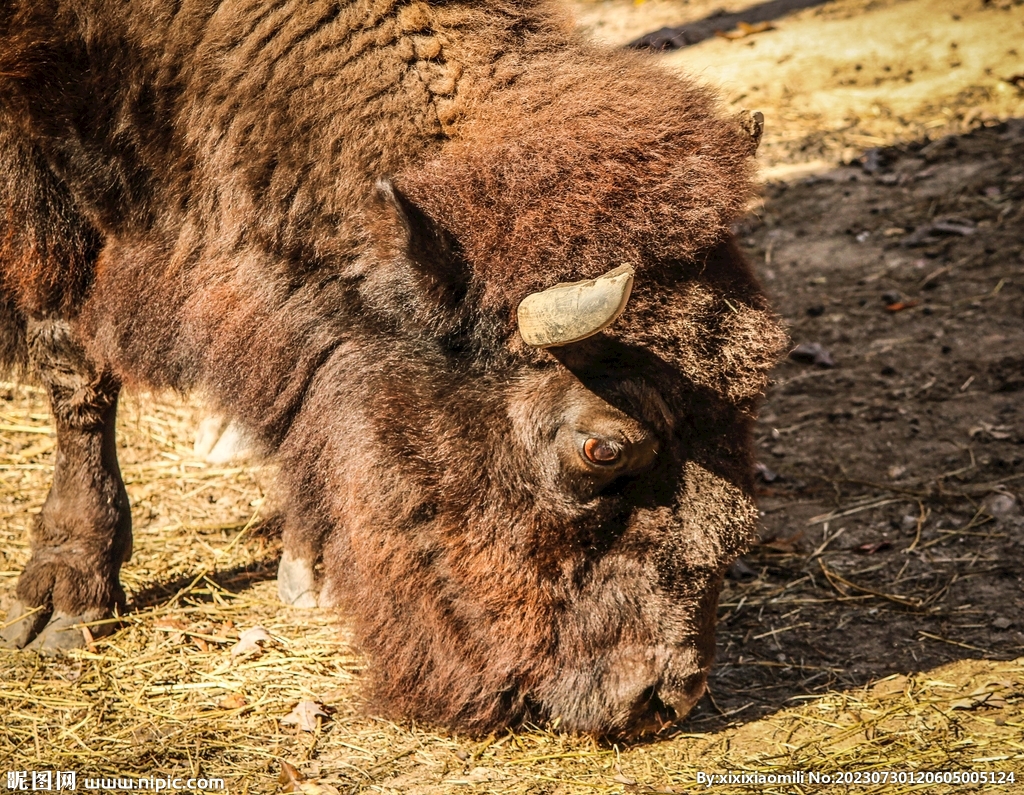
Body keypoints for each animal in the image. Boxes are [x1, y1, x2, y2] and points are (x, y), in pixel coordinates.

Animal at [0, 0, 782, 737]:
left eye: (753, 392)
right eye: (602, 446)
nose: (666, 694)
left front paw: (309, 560)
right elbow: (74, 363)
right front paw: (64, 591)